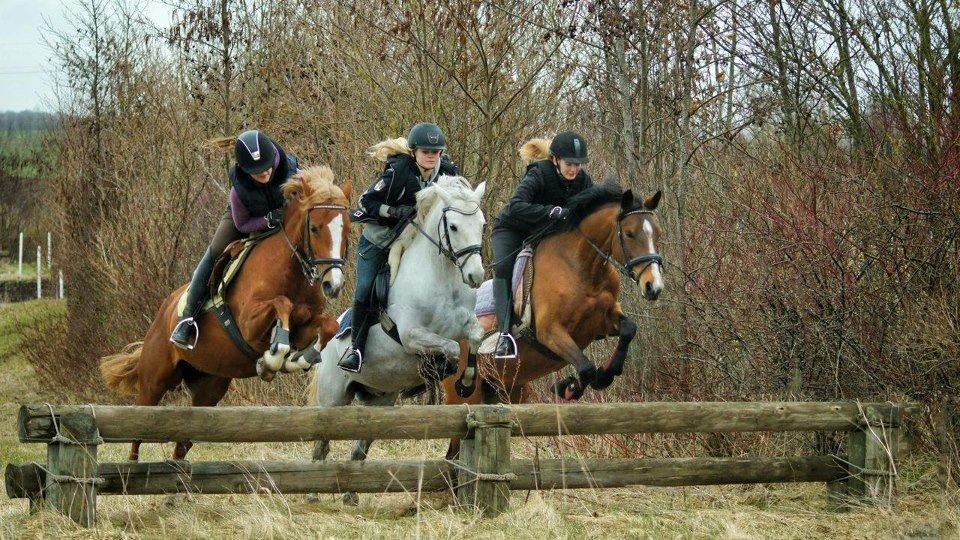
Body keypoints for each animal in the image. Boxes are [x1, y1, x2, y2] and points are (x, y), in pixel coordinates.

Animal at [99, 166, 352, 460]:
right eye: (314, 228)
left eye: (347, 229)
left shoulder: (305, 326)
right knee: (138, 432)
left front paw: (298, 359)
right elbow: (282, 305)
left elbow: (329, 325)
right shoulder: (249, 324)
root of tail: (162, 315)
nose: (333, 285)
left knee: (184, 441)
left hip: (210, 387)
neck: (292, 273)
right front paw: (273, 357)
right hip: (154, 381)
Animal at [444, 181, 664, 456]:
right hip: (463, 394)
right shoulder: (550, 333)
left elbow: (628, 330)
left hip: (506, 390)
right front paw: (569, 387)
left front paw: (606, 373)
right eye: (630, 233)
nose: (653, 287)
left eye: (658, 234)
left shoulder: (602, 322)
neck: (582, 266)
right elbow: (587, 368)